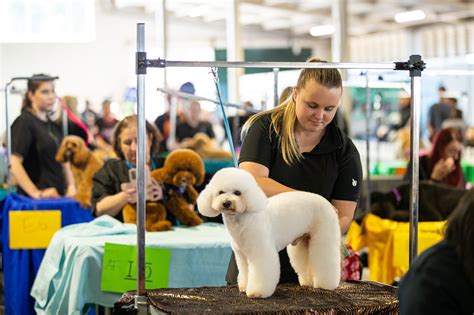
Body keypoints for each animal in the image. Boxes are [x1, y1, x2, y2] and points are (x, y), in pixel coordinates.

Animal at [196, 168, 340, 298]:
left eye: (237, 192)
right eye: (221, 192)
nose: (226, 202)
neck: (242, 220)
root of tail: (327, 203)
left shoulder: (261, 252)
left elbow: (261, 272)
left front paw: (256, 292)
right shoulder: (241, 255)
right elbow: (245, 271)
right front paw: (244, 287)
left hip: (323, 236)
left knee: (325, 259)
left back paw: (325, 284)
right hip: (304, 242)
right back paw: (307, 282)